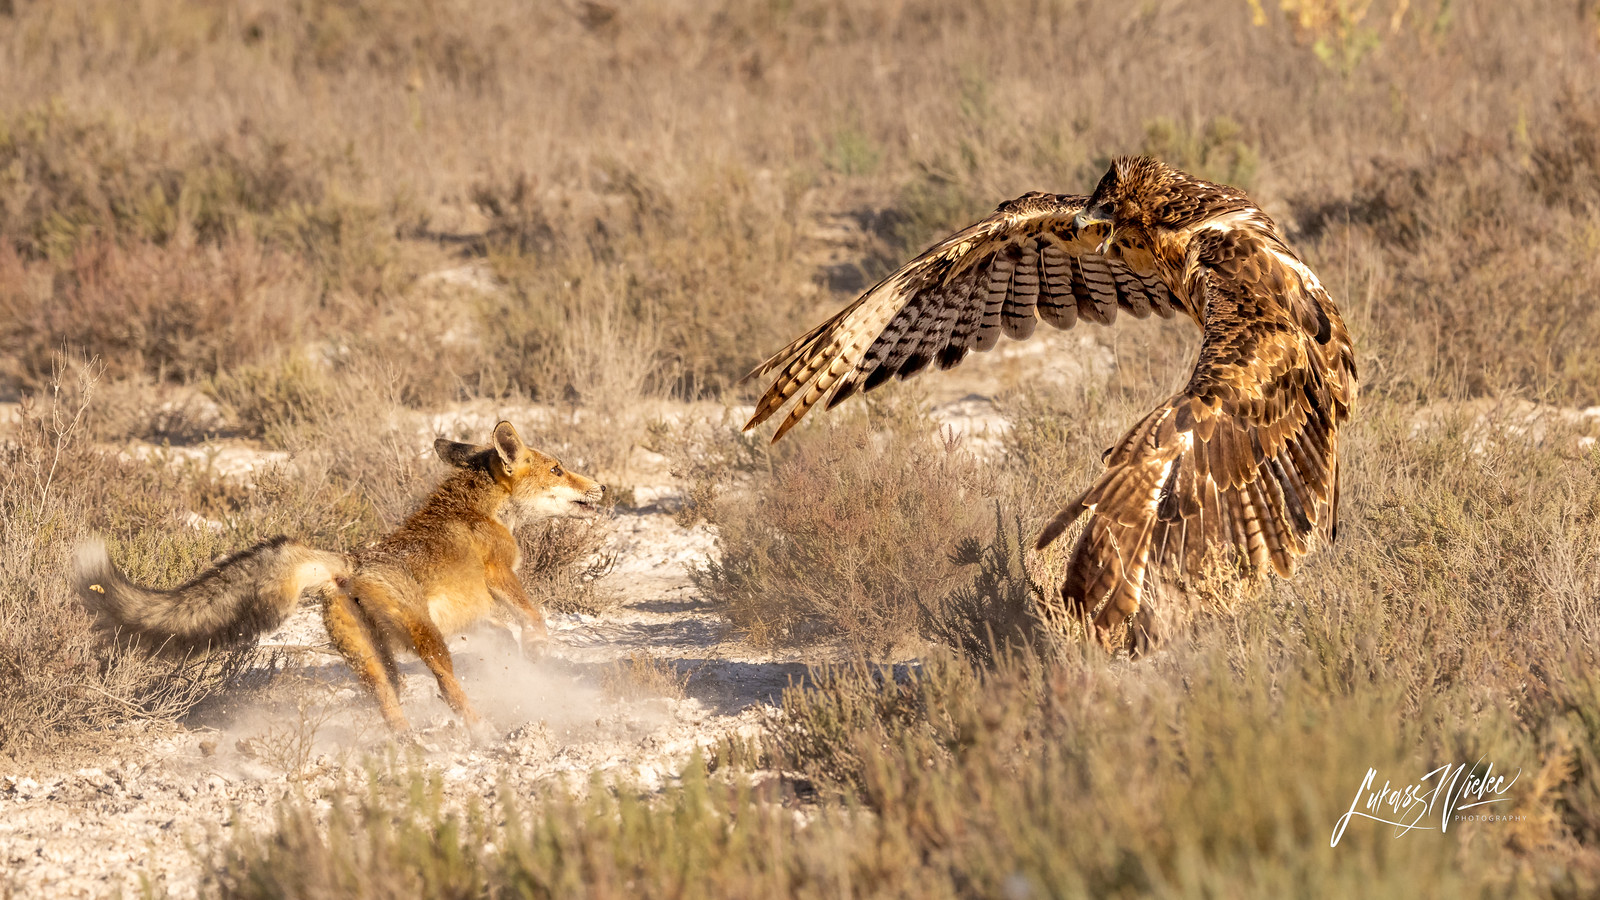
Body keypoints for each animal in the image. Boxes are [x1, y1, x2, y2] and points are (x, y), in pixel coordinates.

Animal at [73, 421, 607, 733]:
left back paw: (413, 748)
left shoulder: (479, 605)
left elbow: (502, 628)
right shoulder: (500, 574)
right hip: (428, 643)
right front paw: (538, 649)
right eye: (559, 469)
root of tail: (349, 564)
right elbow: (534, 616)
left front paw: (520, 653)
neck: (481, 510)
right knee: (447, 690)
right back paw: (481, 729)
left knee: (391, 708)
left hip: (375, 664)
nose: (601, 487)